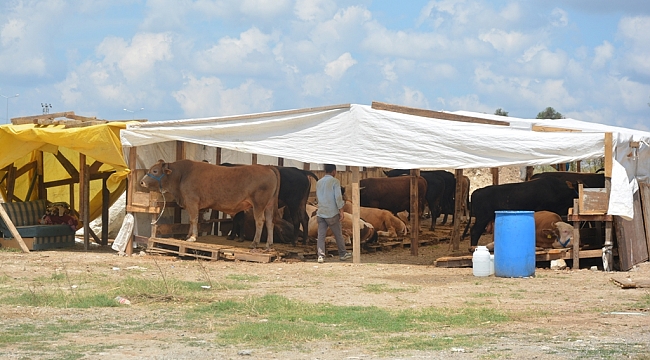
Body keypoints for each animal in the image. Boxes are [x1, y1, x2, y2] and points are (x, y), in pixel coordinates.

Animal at [139, 159, 278, 249]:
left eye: (155, 171)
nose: (141, 182)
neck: (182, 175)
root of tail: (267, 167)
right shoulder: (190, 204)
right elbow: (191, 220)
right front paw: (188, 235)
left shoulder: (192, 201)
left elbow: (194, 220)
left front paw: (193, 237)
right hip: (269, 205)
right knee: (270, 222)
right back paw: (269, 244)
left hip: (259, 204)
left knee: (260, 221)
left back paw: (255, 243)